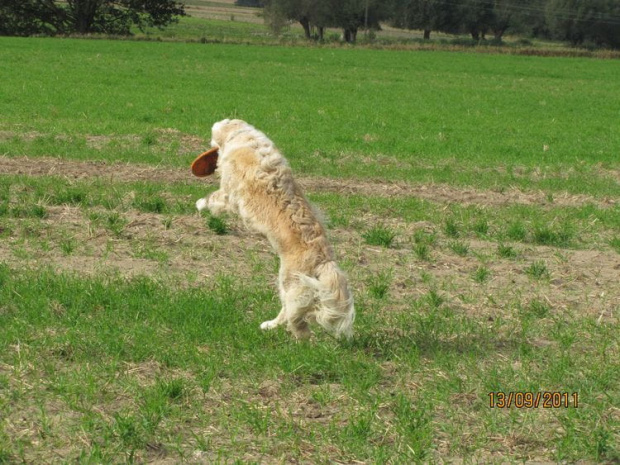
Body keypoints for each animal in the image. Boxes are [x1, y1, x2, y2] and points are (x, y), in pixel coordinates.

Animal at [196, 118, 356, 338]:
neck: (243, 138)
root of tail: (325, 261)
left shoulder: (228, 193)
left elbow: (213, 198)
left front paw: (200, 203)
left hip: (290, 284)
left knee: (296, 320)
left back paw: (293, 337)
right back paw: (271, 326)